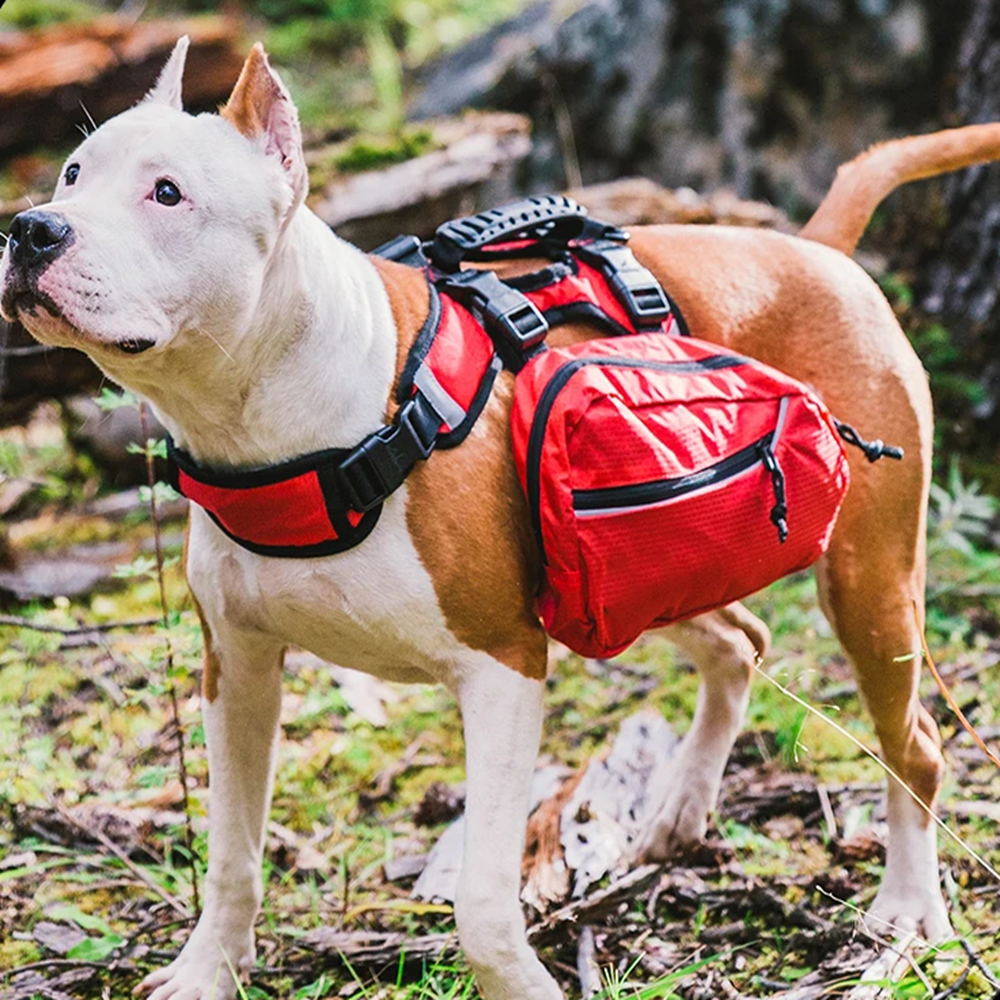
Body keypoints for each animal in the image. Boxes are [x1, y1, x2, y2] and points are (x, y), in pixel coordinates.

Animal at [3, 37, 996, 1000]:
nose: (30, 227)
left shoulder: (502, 666)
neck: (282, 418)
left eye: (168, 192)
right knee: (739, 642)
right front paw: (209, 972)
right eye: (72, 174)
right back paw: (680, 806)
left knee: (915, 745)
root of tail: (816, 249)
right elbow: (233, 856)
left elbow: (482, 901)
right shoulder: (237, 668)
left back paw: (910, 911)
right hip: (646, 570)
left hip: (866, 582)